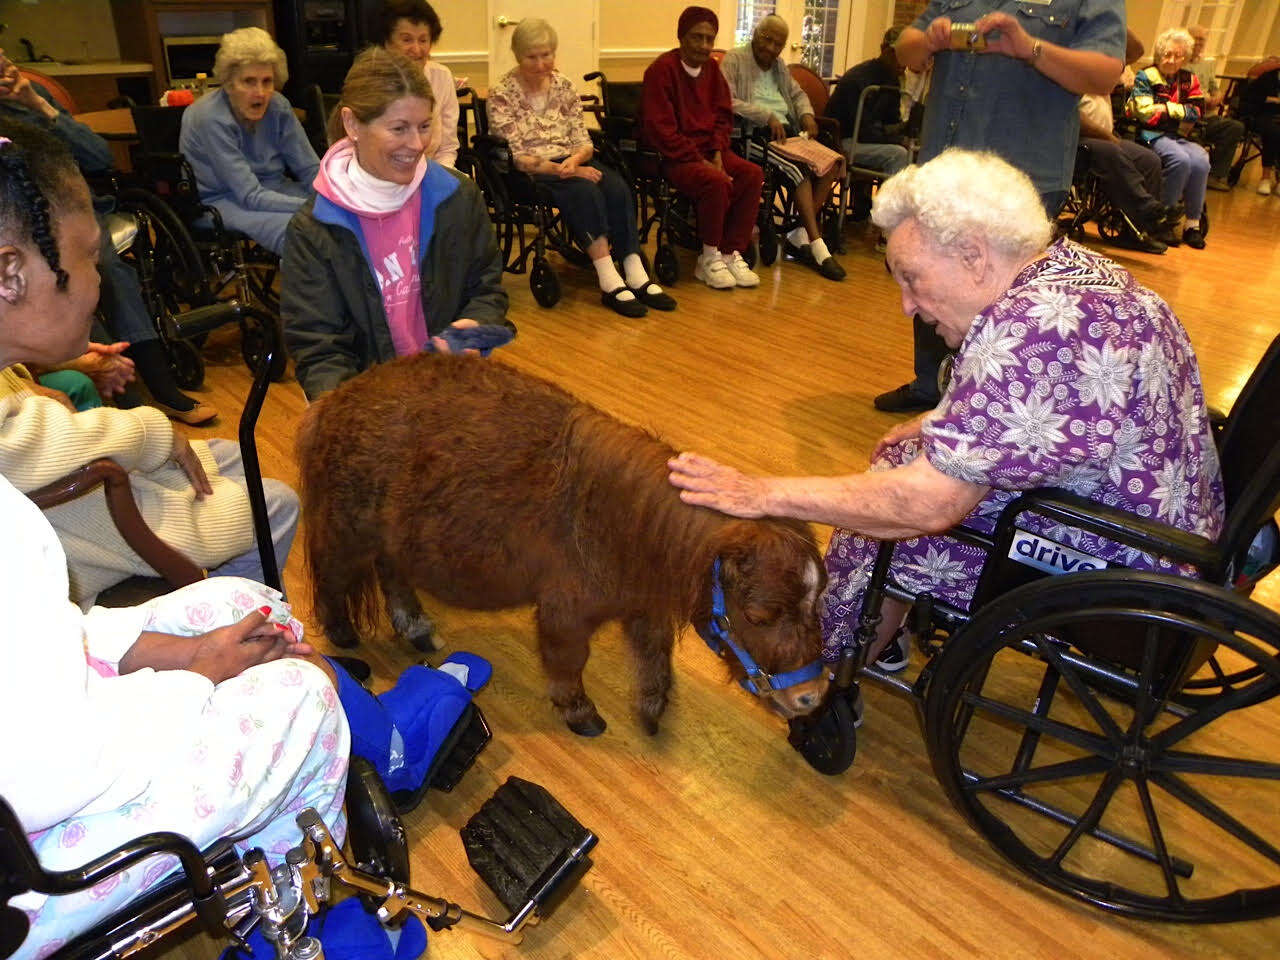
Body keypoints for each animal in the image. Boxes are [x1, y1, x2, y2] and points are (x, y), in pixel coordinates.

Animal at [294, 353, 824, 737]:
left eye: (818, 602)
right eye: (758, 616)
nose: (811, 697)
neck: (609, 516)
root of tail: (335, 400)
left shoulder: (641, 606)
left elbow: (653, 653)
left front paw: (651, 708)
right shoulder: (565, 616)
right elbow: (569, 663)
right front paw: (579, 712)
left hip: (393, 541)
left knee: (393, 575)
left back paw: (416, 628)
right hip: (346, 535)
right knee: (332, 575)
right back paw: (342, 633)